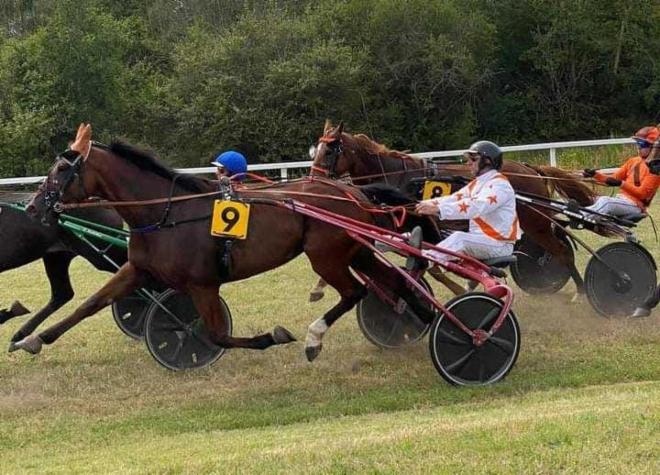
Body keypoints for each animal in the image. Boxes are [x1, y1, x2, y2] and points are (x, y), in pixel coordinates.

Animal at [14, 123, 435, 363]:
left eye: (62, 169)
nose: (33, 206)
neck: (166, 213)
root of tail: (352, 192)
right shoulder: (138, 270)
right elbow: (91, 303)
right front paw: (33, 338)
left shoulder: (202, 285)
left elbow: (216, 334)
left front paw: (270, 337)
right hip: (357, 250)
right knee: (393, 284)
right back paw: (422, 319)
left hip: (325, 256)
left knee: (354, 292)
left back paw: (315, 338)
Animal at [308, 121, 597, 301]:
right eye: (315, 150)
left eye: (330, 150)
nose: (313, 179)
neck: (397, 177)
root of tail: (530, 169)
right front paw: (319, 287)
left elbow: (430, 264)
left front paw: (460, 287)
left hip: (536, 222)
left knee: (560, 251)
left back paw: (581, 291)